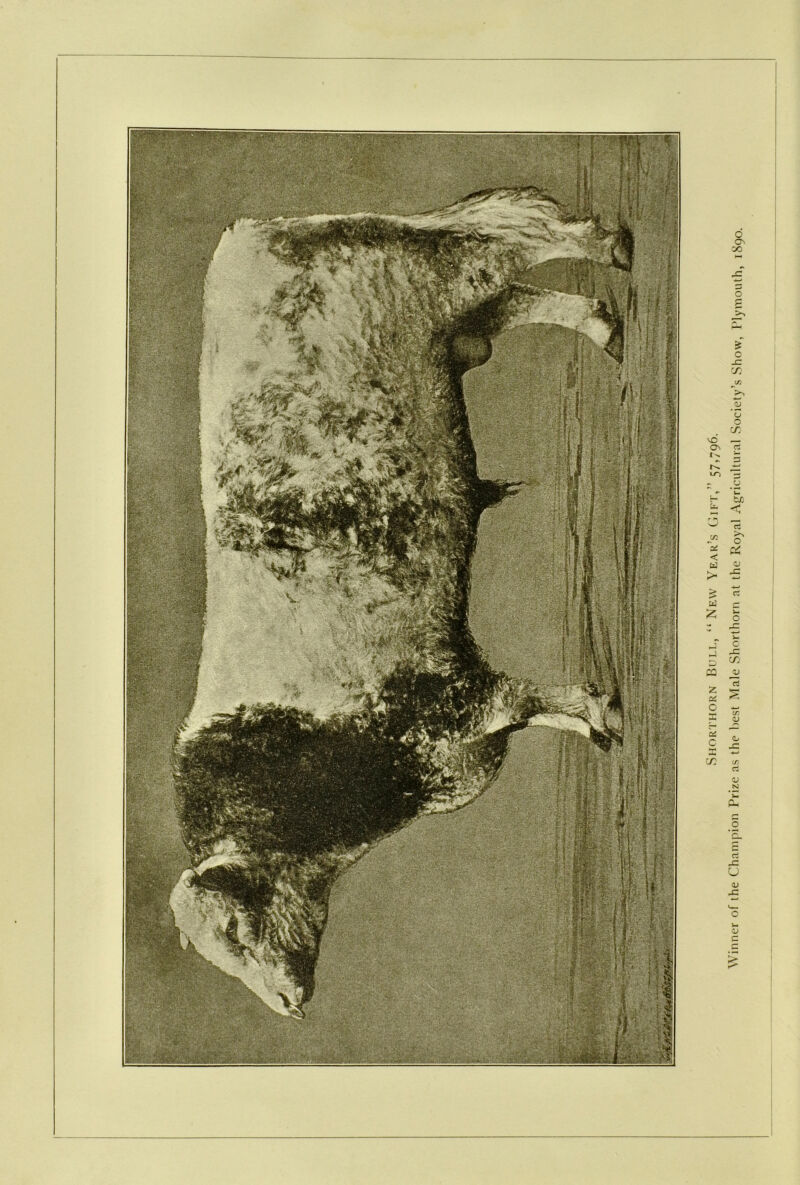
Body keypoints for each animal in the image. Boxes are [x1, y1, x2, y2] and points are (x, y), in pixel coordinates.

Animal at [169, 187, 630, 1019]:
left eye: (237, 929)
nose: (287, 1003)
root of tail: (254, 231)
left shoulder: (450, 702)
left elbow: (538, 700)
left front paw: (605, 714)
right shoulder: (458, 735)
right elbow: (547, 712)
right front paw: (597, 718)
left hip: (435, 271)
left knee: (517, 233)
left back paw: (603, 243)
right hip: (445, 296)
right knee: (526, 289)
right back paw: (605, 326)